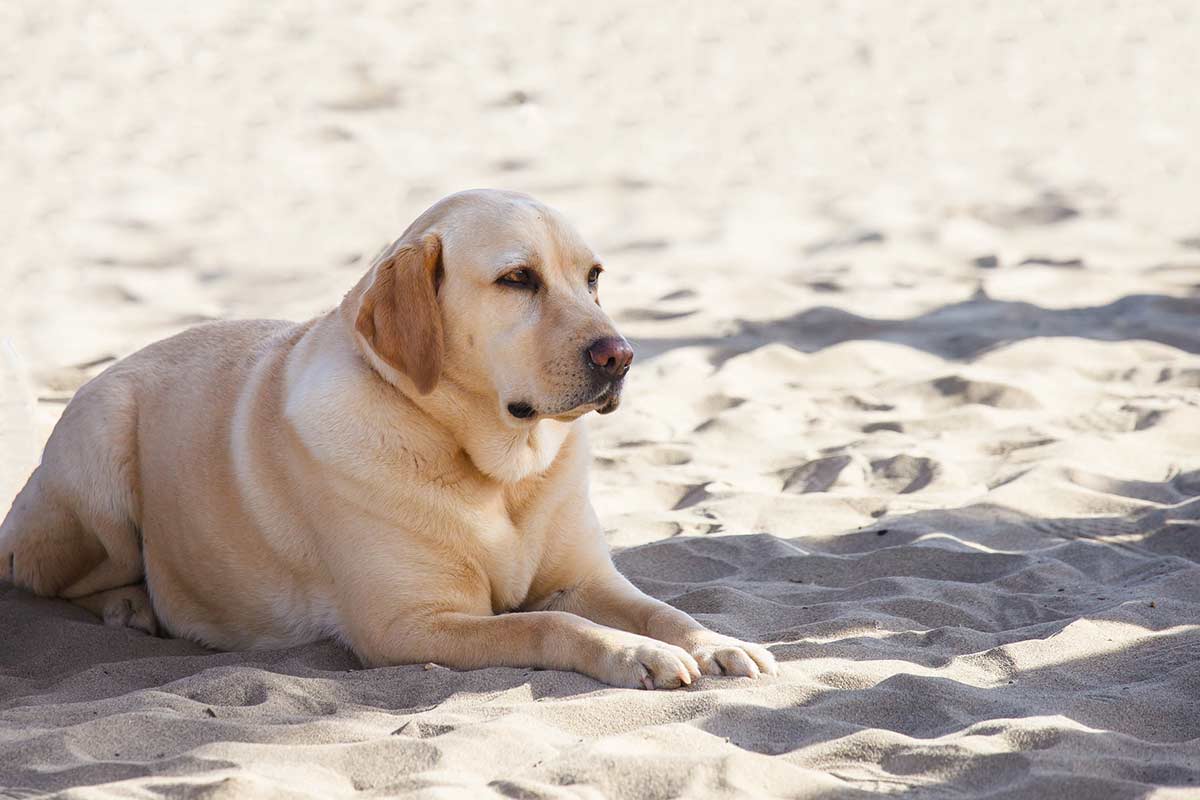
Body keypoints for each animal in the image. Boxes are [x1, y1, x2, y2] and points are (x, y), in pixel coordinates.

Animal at [2, 189, 777, 690]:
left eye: (593, 277)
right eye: (517, 279)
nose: (620, 356)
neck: (495, 470)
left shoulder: (585, 579)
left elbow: (661, 608)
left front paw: (719, 642)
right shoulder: (410, 625)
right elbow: (549, 626)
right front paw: (635, 654)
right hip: (99, 455)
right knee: (52, 578)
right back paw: (128, 604)